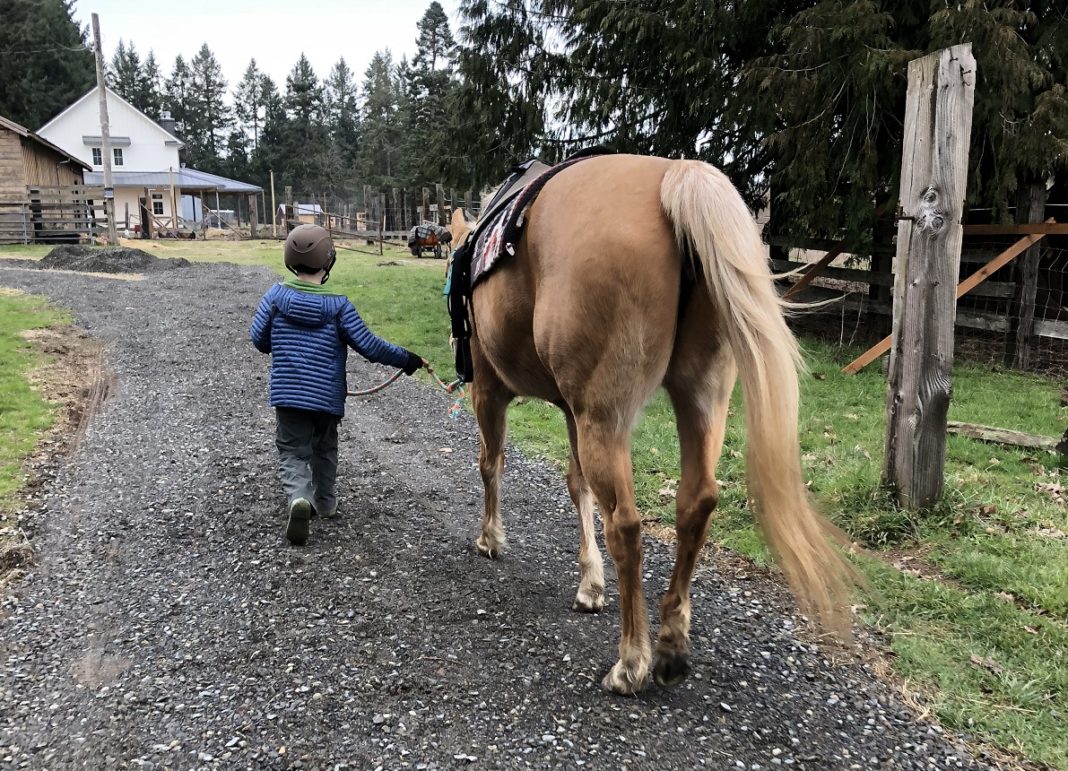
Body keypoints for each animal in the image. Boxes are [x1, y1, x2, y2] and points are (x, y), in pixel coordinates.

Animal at [446, 152, 854, 691]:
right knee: (696, 502)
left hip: (605, 418)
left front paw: (491, 538)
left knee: (625, 524)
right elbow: (578, 486)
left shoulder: (492, 392)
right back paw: (671, 642)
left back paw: (632, 659)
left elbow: (491, 464)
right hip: (699, 399)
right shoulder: (572, 411)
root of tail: (676, 178)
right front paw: (590, 584)